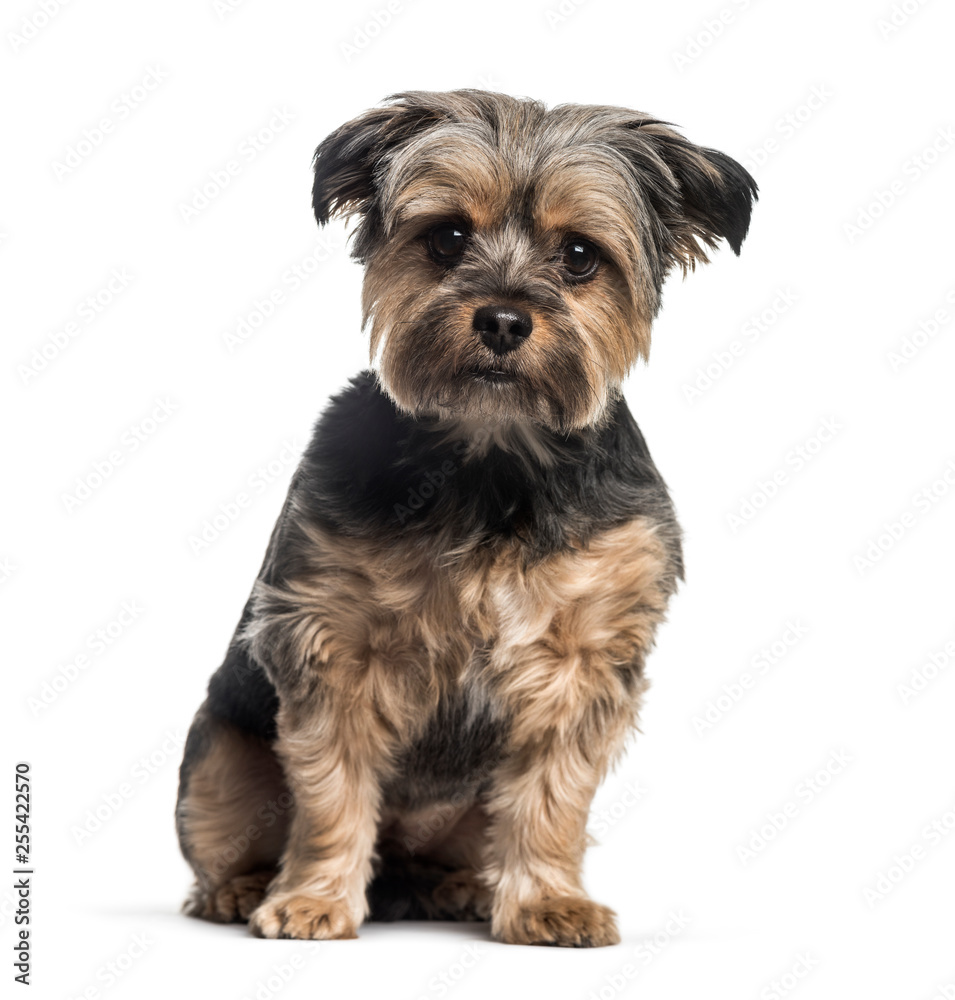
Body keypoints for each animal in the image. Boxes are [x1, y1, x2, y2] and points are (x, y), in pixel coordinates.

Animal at [174, 92, 756, 944]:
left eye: (579, 255)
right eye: (446, 237)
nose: (504, 320)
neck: (492, 457)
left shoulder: (581, 660)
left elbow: (553, 796)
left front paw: (546, 901)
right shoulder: (334, 643)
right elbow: (330, 787)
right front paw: (313, 898)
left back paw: (460, 889)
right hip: (219, 749)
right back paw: (241, 888)